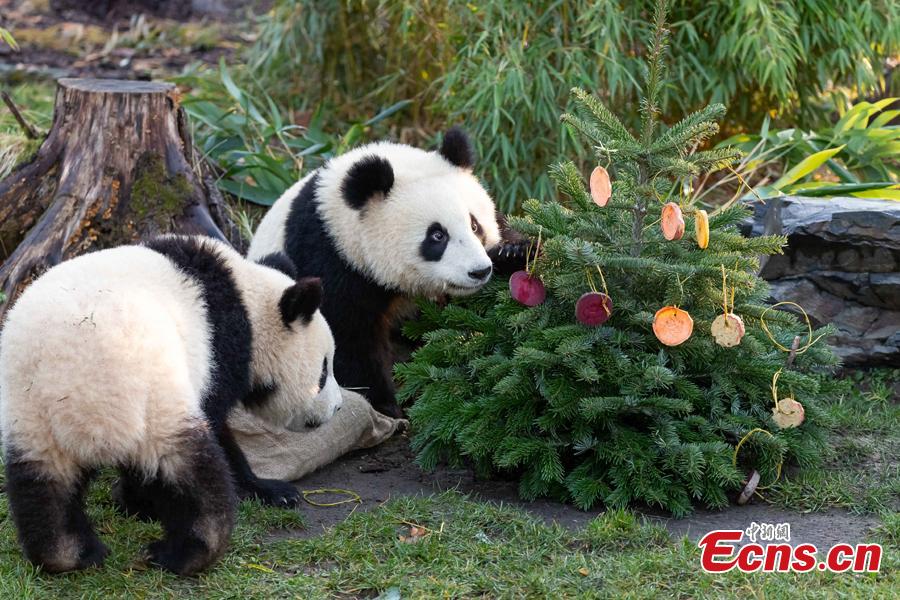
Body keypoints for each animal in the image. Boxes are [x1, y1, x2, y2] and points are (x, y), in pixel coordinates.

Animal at [0, 236, 342, 576]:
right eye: (324, 371)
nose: (337, 408)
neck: (247, 300)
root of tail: (77, 394)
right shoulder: (218, 352)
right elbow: (219, 429)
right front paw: (272, 491)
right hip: (156, 399)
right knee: (188, 474)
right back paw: (186, 552)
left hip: (32, 415)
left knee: (44, 485)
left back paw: (69, 554)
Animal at [250, 127, 502, 418]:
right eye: (437, 235)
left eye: (474, 225)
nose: (479, 271)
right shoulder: (327, 257)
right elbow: (347, 337)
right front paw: (385, 405)